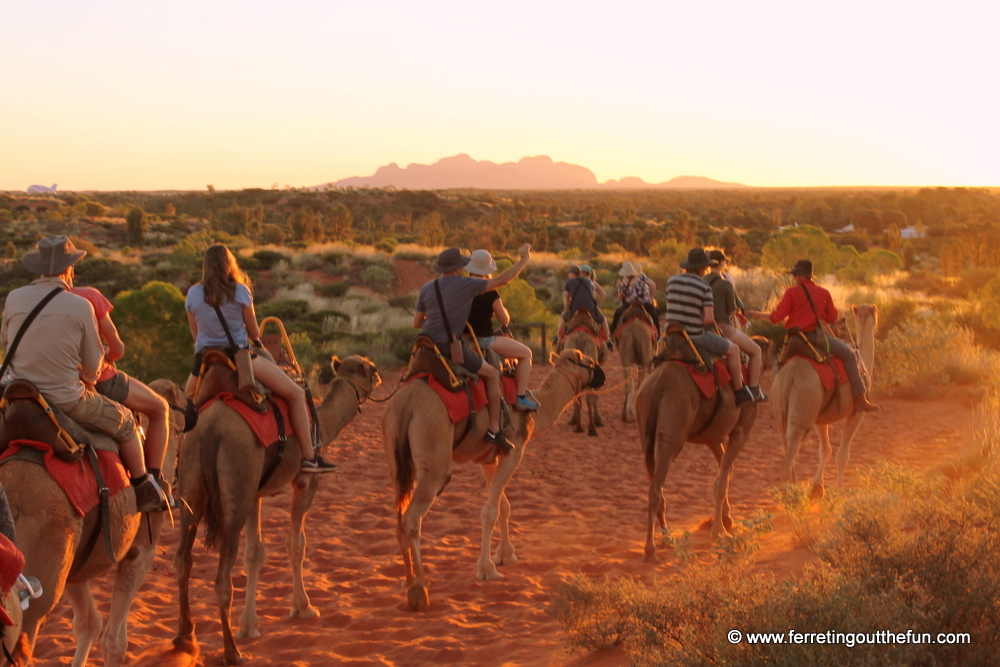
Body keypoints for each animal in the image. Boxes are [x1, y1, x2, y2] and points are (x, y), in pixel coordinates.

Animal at [174, 352, 380, 664]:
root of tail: (210, 431)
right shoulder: (304, 481)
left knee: (183, 560)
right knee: (221, 577)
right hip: (237, 480)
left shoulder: (256, 494)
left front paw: (249, 625)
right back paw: (231, 652)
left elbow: (254, 554)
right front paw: (303, 607)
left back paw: (185, 636)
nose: (378, 375)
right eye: (369, 367)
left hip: (192, 484)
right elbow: (296, 544)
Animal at [380, 348, 600, 612]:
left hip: (395, 459)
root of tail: (406, 404)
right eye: (589, 362)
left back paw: (407, 580)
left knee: (400, 512)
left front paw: (505, 554)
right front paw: (487, 569)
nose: (602, 375)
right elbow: (490, 511)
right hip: (433, 457)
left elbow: (503, 506)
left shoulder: (487, 457)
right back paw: (420, 589)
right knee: (413, 516)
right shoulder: (515, 448)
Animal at [632, 332, 764, 560]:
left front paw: (726, 519)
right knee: (655, 489)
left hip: (645, 431)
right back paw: (650, 548)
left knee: (655, 482)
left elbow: (726, 471)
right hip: (673, 434)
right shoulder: (741, 430)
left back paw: (667, 536)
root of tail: (658, 385)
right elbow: (720, 481)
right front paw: (719, 530)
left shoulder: (713, 437)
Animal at [772, 302, 876, 496]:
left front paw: (817, 488)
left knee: (787, 451)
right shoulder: (857, 413)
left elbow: (825, 450)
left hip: (780, 409)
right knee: (787, 460)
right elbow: (841, 454)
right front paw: (840, 490)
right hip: (802, 407)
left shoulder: (820, 419)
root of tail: (790, 375)